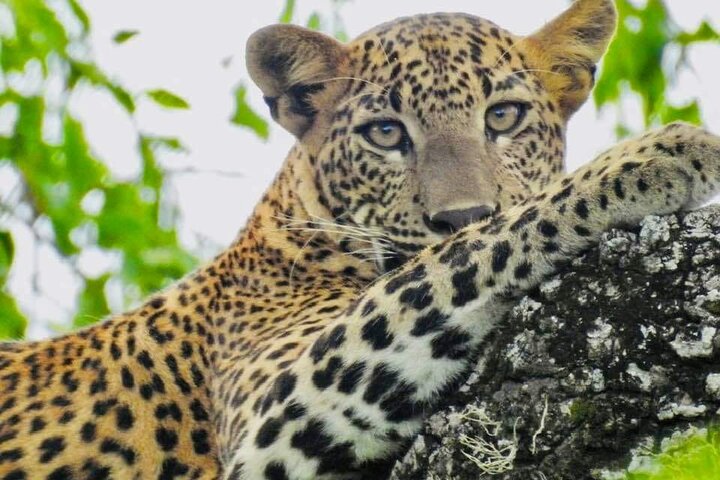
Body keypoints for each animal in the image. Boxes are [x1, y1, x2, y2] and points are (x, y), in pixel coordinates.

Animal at [2, 0, 720, 479]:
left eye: (504, 117)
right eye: (385, 133)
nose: (460, 213)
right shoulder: (277, 419)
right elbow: (457, 258)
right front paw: (661, 154)